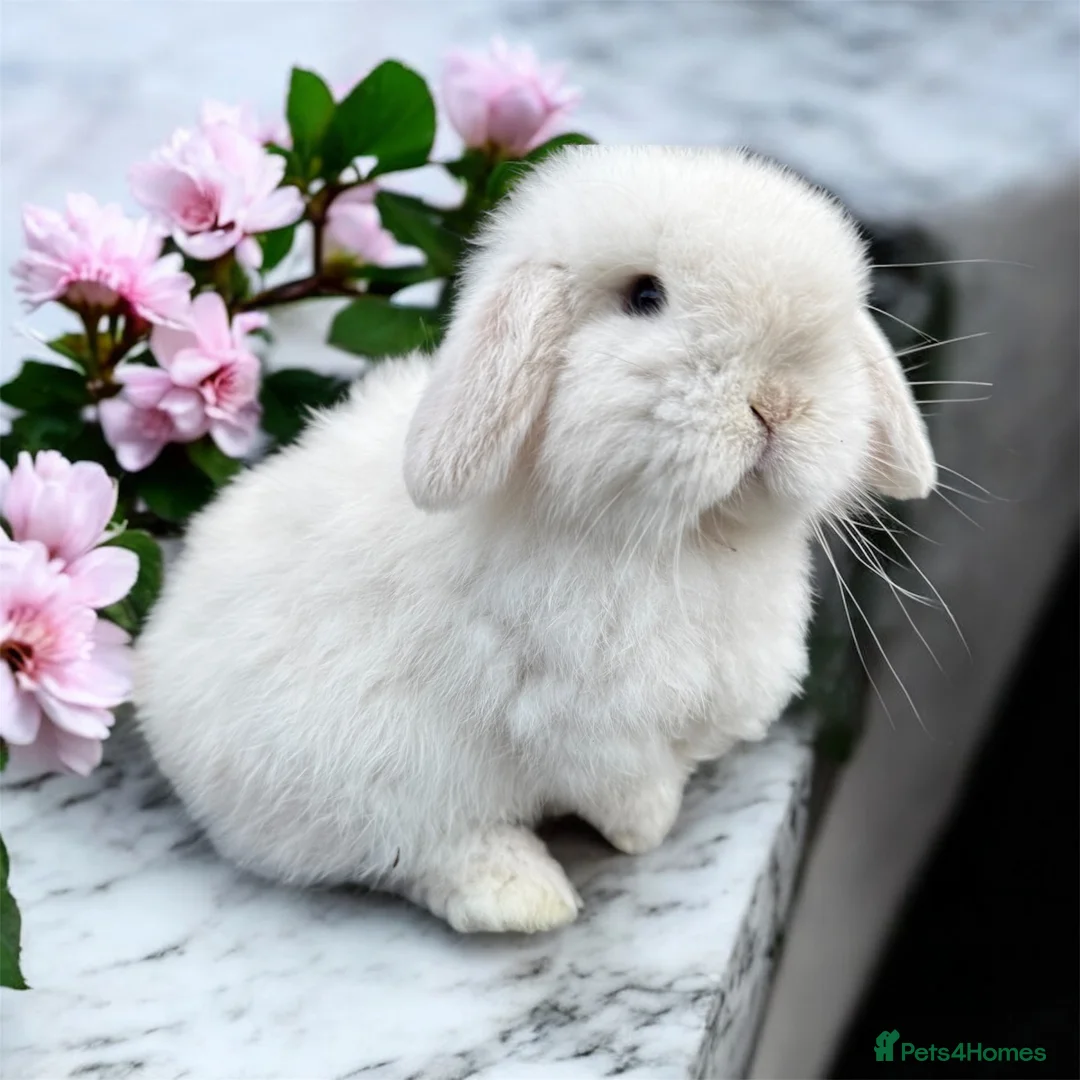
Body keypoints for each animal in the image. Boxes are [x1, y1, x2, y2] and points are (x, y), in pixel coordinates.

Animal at [133, 145, 936, 934]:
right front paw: (647, 831)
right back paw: (523, 896)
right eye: (645, 296)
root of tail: (157, 692)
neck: (688, 539)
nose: (778, 402)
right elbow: (628, 788)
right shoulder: (581, 722)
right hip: (366, 779)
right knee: (427, 851)